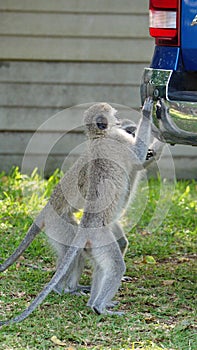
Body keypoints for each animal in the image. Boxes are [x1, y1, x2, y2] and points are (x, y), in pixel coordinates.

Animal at [0, 96, 154, 326]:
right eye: (115, 115)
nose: (120, 121)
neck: (99, 136)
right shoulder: (119, 141)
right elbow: (139, 154)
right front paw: (149, 112)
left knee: (101, 260)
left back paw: (91, 300)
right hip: (72, 229)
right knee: (108, 264)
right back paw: (90, 302)